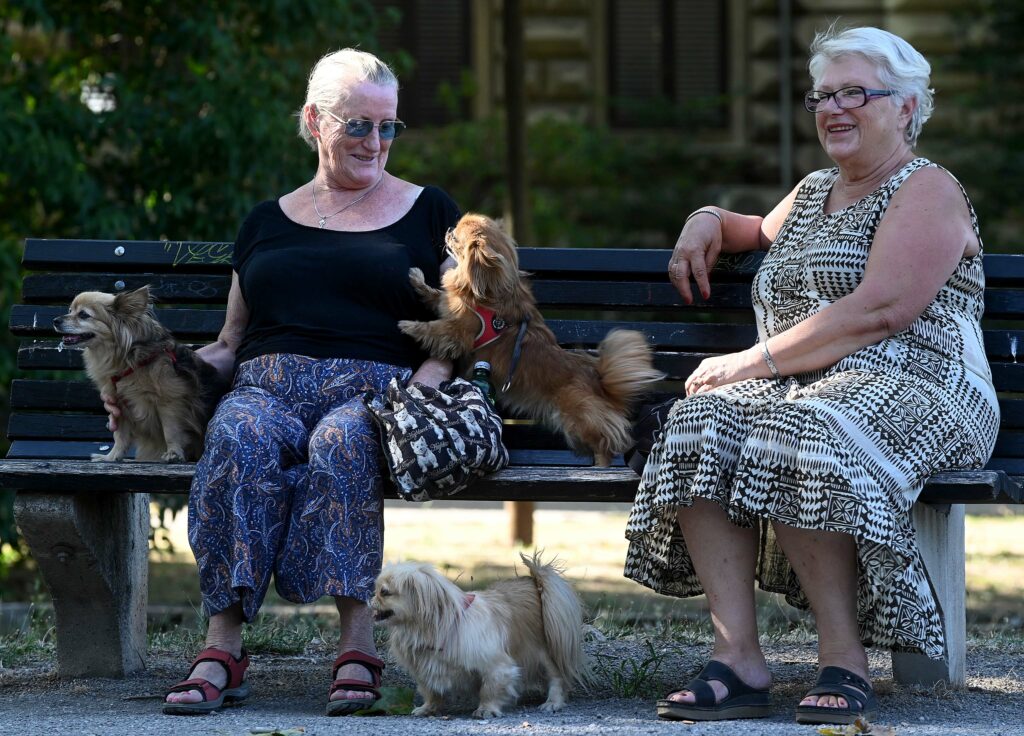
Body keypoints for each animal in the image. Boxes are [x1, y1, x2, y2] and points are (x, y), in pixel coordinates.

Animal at [52, 286, 227, 460]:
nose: (55, 320)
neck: (129, 362)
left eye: (83, 315)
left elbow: (171, 430)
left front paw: (173, 452)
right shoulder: (119, 404)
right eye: (69, 310)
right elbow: (120, 435)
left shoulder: (170, 400)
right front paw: (111, 457)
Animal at [372, 552, 589, 720]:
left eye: (384, 592)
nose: (371, 597)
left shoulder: (497, 666)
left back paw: (552, 702)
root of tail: (536, 585)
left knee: (557, 677)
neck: (432, 629)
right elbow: (431, 692)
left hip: (543, 653)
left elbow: (490, 689)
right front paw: (427, 709)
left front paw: (486, 710)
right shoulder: (426, 669)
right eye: (377, 590)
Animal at [395, 211, 659, 466]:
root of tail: (599, 382)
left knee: (607, 442)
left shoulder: (457, 332)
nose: (448, 229)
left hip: (579, 416)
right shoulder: (449, 307)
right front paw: (416, 279)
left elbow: (434, 329)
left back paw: (600, 467)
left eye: (457, 237)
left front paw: (407, 326)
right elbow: (436, 296)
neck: (489, 294)